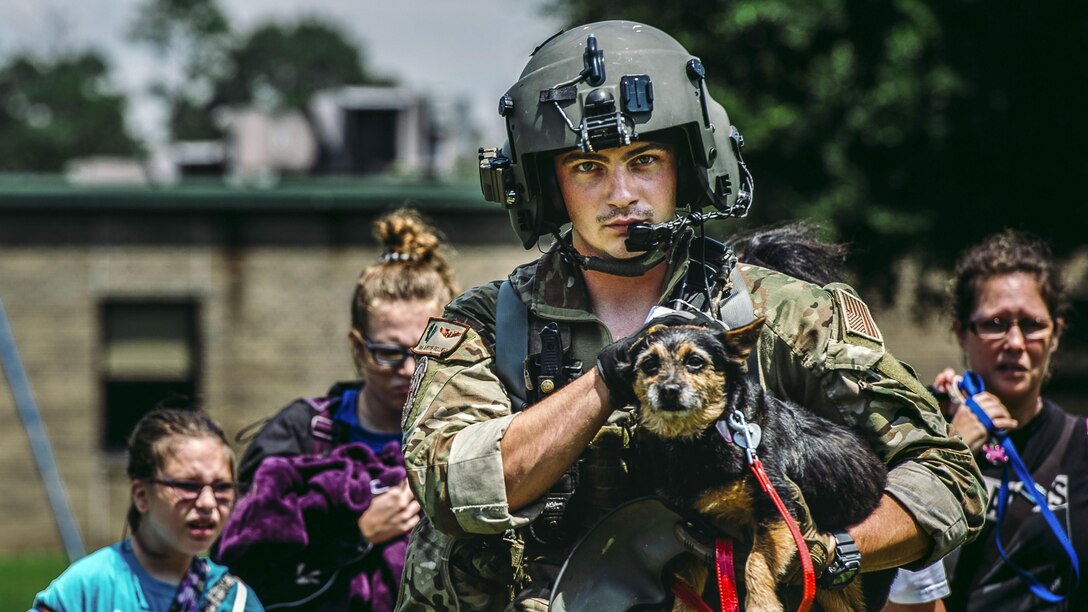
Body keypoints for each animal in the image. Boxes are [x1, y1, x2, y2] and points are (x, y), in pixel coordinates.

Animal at [626, 313, 887, 609]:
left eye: (695, 361)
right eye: (649, 364)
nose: (668, 390)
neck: (704, 437)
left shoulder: (776, 508)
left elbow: (755, 562)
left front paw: (761, 604)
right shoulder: (695, 530)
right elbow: (687, 588)